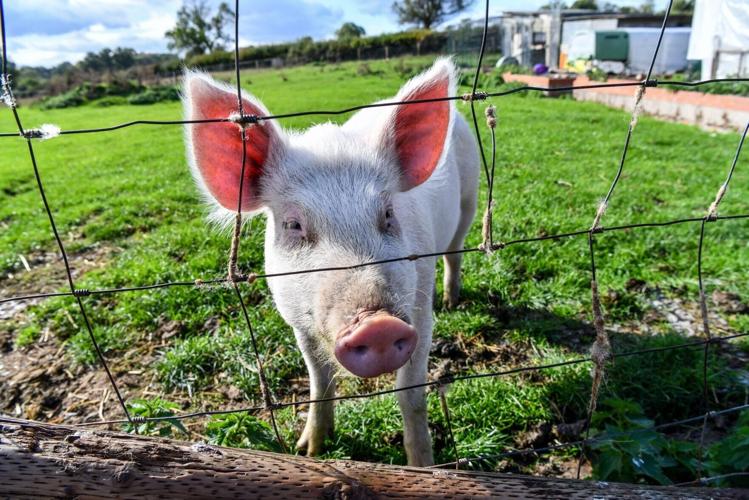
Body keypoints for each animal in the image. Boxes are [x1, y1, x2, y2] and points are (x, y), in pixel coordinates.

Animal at [183, 58, 479, 466]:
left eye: (388, 214)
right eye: (293, 225)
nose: (377, 325)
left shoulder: (420, 311)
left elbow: (411, 394)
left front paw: (424, 466)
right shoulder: (297, 321)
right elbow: (319, 381)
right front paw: (307, 449)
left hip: (470, 199)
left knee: (455, 251)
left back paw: (453, 301)